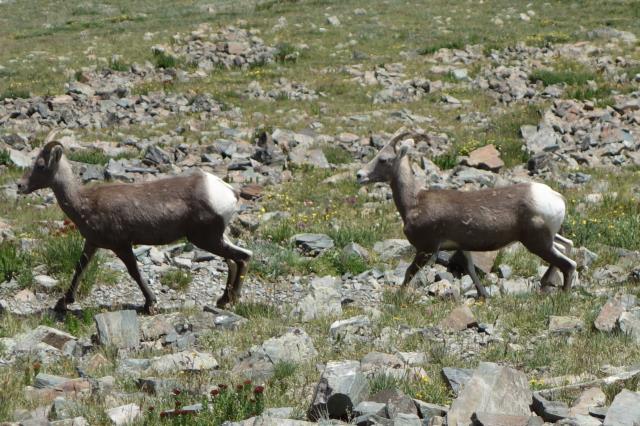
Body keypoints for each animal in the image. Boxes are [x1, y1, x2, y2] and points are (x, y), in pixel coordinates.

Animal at [17, 131, 252, 314]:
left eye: (40, 165)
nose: (20, 186)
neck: (85, 203)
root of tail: (229, 192)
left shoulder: (121, 245)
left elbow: (134, 272)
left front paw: (150, 304)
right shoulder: (92, 244)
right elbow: (79, 268)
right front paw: (63, 303)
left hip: (206, 239)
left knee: (242, 258)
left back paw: (230, 300)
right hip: (217, 237)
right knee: (235, 259)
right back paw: (222, 301)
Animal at [356, 128, 576, 297]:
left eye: (383, 159)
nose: (359, 175)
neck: (414, 202)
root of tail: (555, 197)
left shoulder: (426, 249)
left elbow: (409, 272)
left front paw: (399, 297)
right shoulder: (462, 247)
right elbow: (470, 269)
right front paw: (483, 295)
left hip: (537, 243)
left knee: (569, 264)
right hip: (548, 239)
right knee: (567, 246)